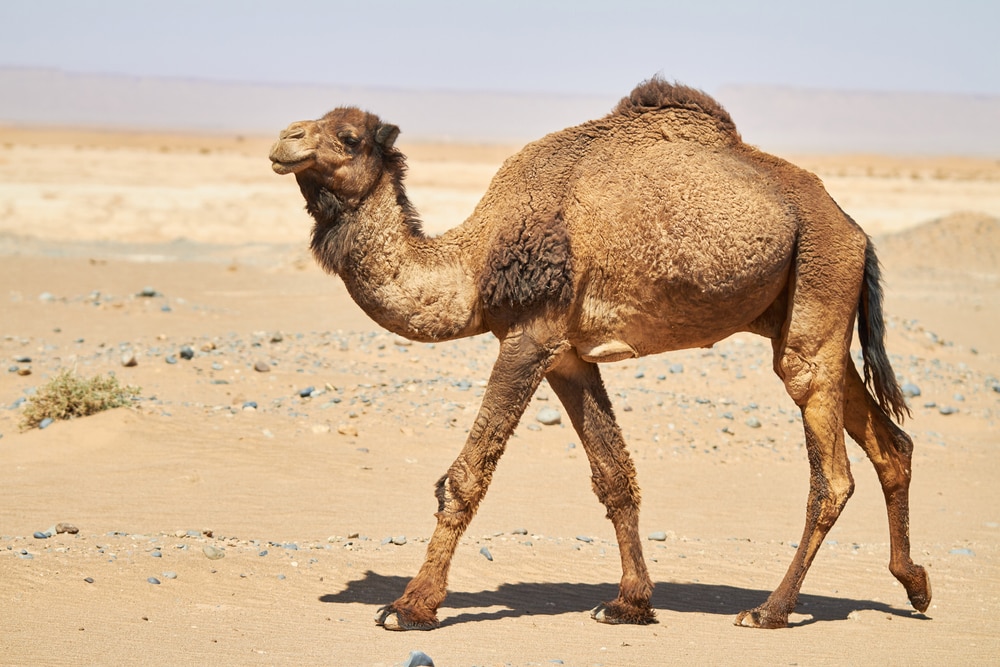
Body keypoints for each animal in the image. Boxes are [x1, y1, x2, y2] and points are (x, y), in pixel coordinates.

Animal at [269, 78, 931, 631]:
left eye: (349, 136)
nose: (284, 138)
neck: (474, 265)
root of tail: (856, 230)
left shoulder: (529, 335)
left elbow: (466, 477)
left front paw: (410, 607)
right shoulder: (567, 355)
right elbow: (615, 478)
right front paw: (629, 603)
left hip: (819, 278)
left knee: (832, 473)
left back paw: (769, 610)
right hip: (805, 316)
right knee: (890, 443)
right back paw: (916, 585)